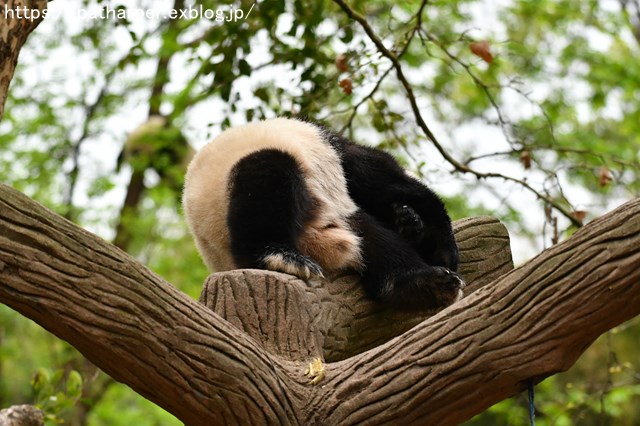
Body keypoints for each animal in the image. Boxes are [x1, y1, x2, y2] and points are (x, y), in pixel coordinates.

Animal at [182, 118, 462, 312]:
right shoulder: (340, 155)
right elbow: (388, 182)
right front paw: (442, 248)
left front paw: (409, 224)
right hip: (230, 189)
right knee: (266, 180)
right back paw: (280, 256)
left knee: (372, 240)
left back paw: (423, 284)